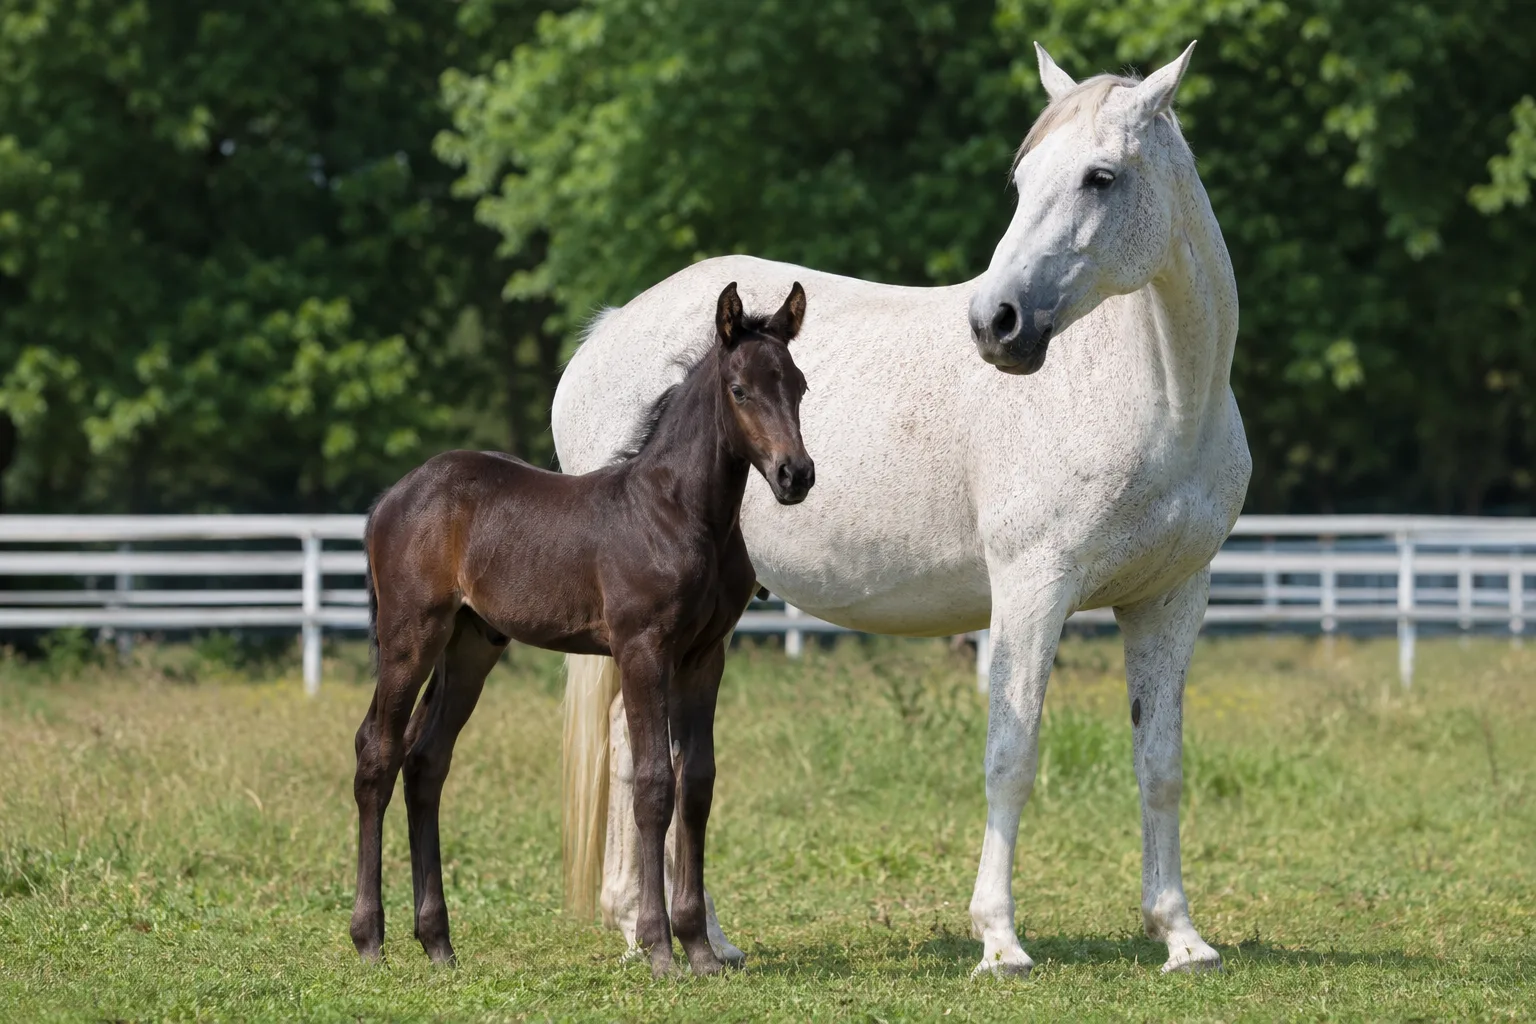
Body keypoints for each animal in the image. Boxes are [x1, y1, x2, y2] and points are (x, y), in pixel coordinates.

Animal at [349, 282, 815, 976]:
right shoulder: (642, 649)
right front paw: (658, 949)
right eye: (740, 390)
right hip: (411, 636)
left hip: (470, 645)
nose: (796, 475)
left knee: (426, 760)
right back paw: (369, 940)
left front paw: (700, 948)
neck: (679, 511)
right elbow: (653, 784)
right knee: (376, 752)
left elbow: (697, 784)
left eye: (800, 385)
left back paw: (438, 943)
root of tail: (390, 499)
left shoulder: (704, 657)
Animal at [553, 42, 1247, 977]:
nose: (997, 324)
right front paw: (999, 939)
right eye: (1023, 179)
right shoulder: (1033, 589)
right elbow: (1012, 755)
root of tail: (609, 333)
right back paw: (661, 931)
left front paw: (1180, 935)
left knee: (637, 753)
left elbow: (1161, 765)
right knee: (638, 757)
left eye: (1102, 177)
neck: (1159, 395)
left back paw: (675, 933)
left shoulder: (1171, 599)